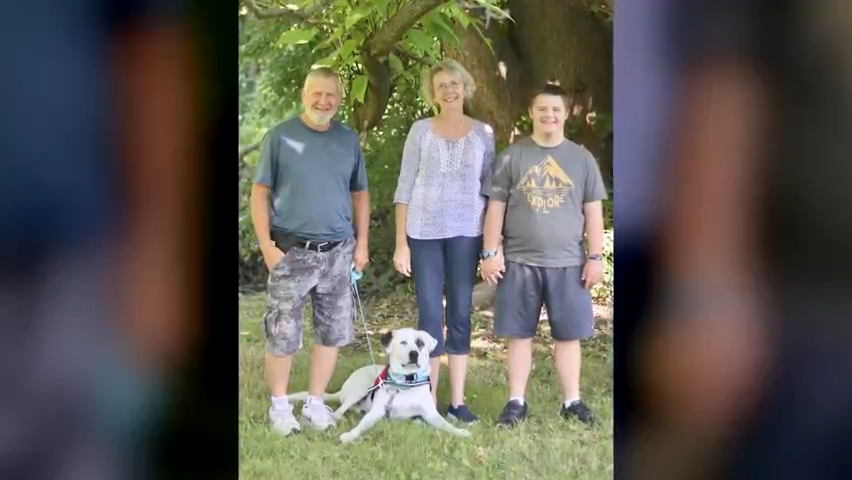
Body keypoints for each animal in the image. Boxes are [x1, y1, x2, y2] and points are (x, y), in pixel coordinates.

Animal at [288, 330, 472, 442]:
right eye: (403, 342)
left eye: (420, 343)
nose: (414, 354)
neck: (406, 383)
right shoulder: (376, 412)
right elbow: (361, 426)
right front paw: (349, 435)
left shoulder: (431, 414)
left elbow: (446, 425)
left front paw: (460, 432)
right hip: (360, 388)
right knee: (340, 410)